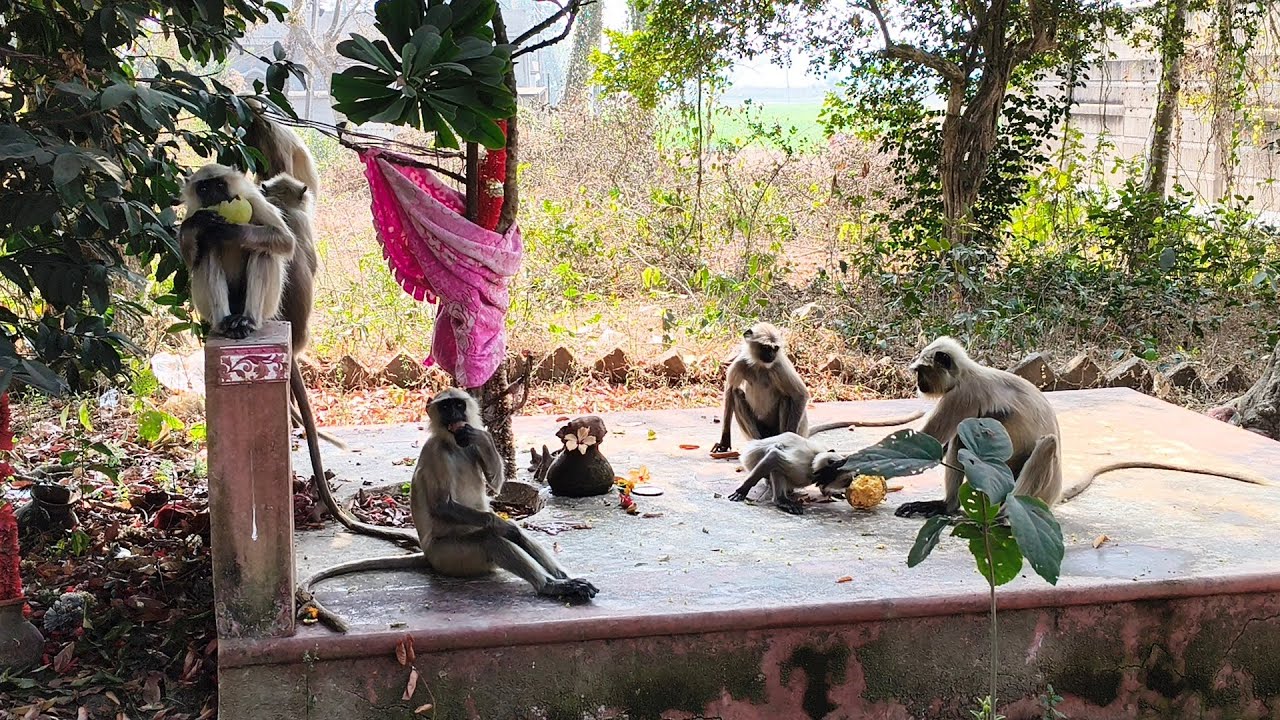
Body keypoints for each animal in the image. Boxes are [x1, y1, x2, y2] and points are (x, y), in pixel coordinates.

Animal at [297, 389, 599, 632]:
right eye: (446, 407)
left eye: (458, 405)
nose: (454, 414)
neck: (453, 444)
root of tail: (429, 556)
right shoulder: (435, 453)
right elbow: (444, 506)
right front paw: (505, 526)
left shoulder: (469, 446)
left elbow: (495, 485)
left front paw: (482, 436)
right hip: (451, 557)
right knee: (491, 539)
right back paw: (550, 584)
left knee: (515, 536)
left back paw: (563, 578)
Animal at [710, 322, 923, 454]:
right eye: (765, 348)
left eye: (774, 348)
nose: (771, 355)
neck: (762, 366)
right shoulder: (741, 363)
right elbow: (729, 390)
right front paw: (724, 441)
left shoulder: (779, 365)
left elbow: (800, 395)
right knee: (737, 393)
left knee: (786, 397)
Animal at [727, 432, 856, 514]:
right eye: (846, 481)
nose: (850, 483)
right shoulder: (801, 466)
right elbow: (774, 456)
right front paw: (742, 490)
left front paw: (830, 491)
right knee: (776, 453)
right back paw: (781, 500)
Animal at [894, 336, 1063, 519]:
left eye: (921, 371)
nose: (918, 383)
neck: (966, 373)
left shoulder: (961, 396)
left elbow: (926, 439)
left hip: (1040, 495)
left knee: (1048, 443)